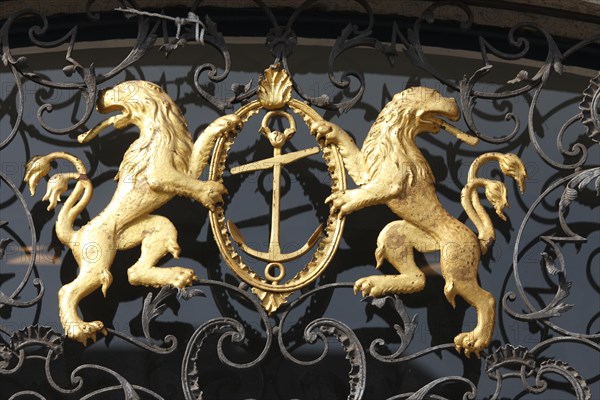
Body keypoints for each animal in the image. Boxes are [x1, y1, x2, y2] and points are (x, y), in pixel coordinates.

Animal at [25, 80, 241, 344]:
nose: (98, 96)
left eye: (118, 90)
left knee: (134, 273)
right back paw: (83, 329)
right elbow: (180, 181)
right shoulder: (160, 173)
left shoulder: (186, 165)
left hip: (155, 228)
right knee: (68, 290)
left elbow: (202, 145)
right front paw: (210, 191)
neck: (157, 127)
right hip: (97, 262)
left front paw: (226, 122)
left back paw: (178, 276)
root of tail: (76, 235)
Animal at [312, 87, 528, 356]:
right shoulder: (368, 171)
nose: (453, 101)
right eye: (435, 94)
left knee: (485, 298)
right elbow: (352, 154)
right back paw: (376, 284)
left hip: (455, 266)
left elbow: (370, 192)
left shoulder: (392, 182)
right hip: (399, 234)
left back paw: (474, 340)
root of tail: (478, 241)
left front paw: (345, 199)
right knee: (418, 278)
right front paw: (328, 129)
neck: (398, 136)